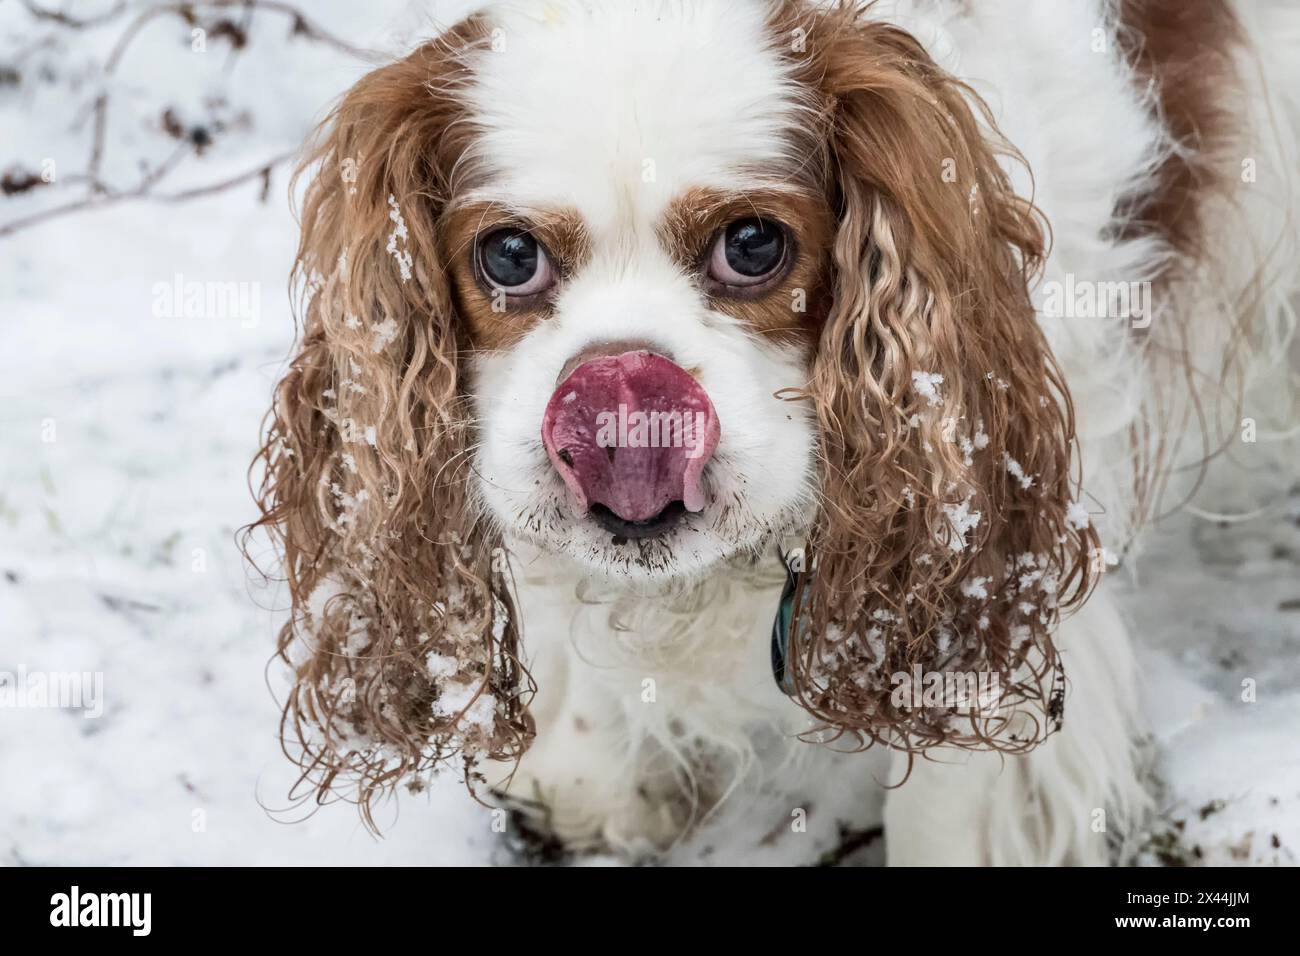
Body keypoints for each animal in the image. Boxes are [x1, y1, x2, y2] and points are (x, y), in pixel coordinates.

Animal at [253, 0, 1300, 868]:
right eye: (509, 255)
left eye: (754, 244)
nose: (620, 400)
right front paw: (589, 777)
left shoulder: (994, 565)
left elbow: (952, 808)